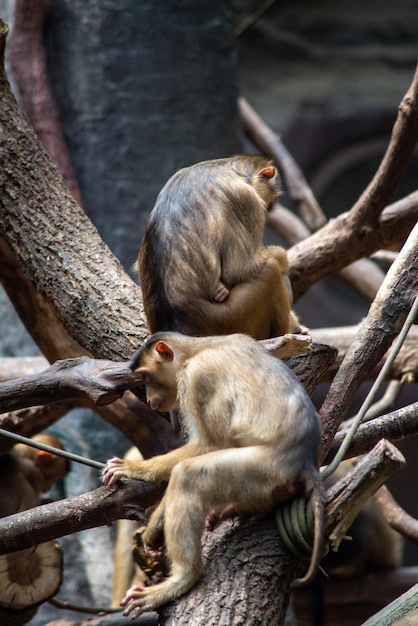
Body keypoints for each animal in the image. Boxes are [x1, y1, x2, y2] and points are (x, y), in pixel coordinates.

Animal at [102, 332, 324, 616]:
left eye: (148, 379)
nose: (150, 400)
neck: (196, 350)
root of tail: (305, 460)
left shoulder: (197, 377)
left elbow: (214, 443)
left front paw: (135, 470)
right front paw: (157, 523)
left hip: (263, 470)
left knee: (188, 476)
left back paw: (183, 578)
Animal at [137, 156, 304, 342]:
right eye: (266, 206)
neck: (231, 169)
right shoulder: (244, 198)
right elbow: (239, 270)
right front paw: (281, 256)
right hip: (232, 319)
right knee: (271, 271)